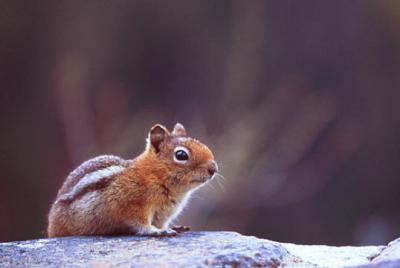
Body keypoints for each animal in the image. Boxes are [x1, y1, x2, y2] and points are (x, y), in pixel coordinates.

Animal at [47, 123, 219, 237]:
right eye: (181, 155)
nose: (214, 169)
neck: (155, 175)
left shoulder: (163, 214)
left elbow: (162, 223)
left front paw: (172, 228)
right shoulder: (134, 206)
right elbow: (141, 224)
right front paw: (156, 231)